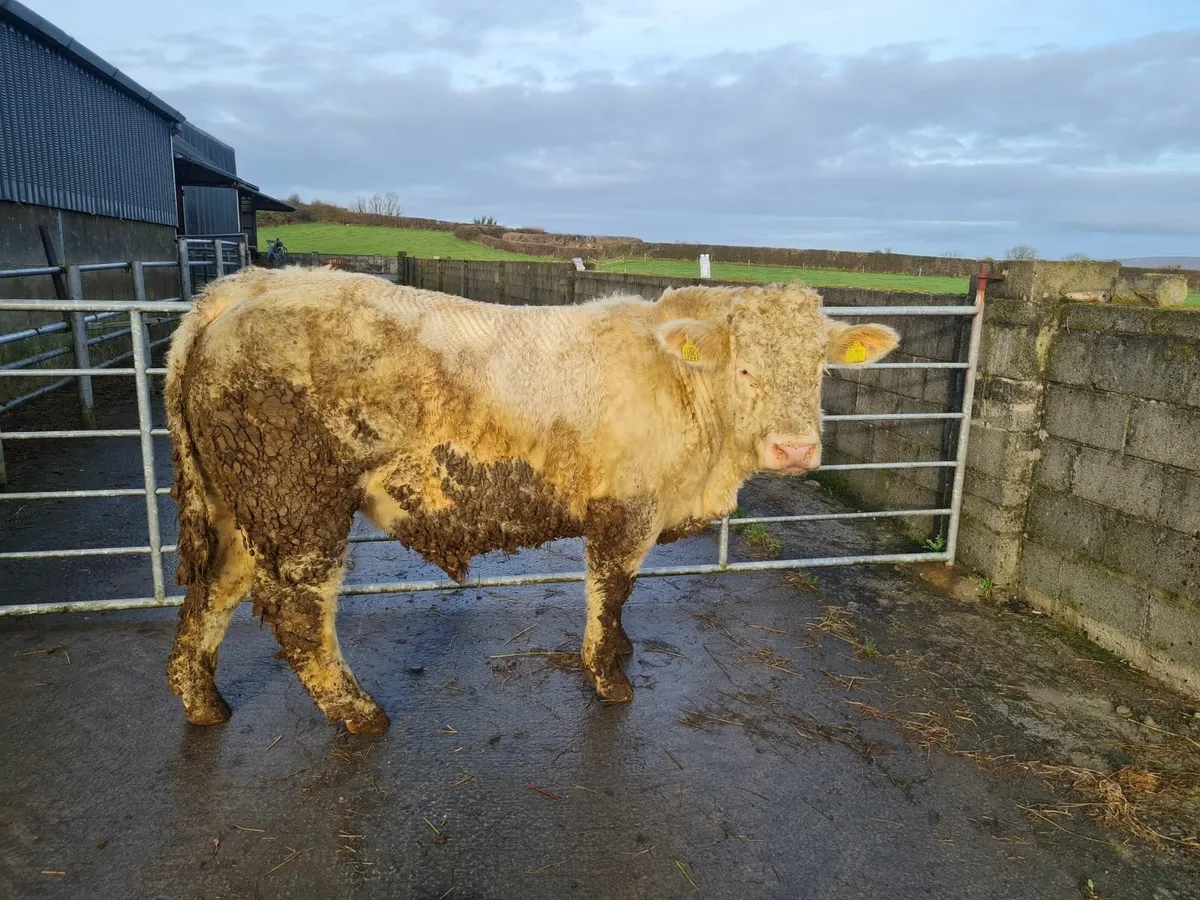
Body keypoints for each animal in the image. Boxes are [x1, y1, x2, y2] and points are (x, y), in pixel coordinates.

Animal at [164, 267, 899, 733]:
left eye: (820, 368)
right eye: (746, 368)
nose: (795, 450)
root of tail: (248, 287)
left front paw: (622, 653)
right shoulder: (624, 510)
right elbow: (611, 591)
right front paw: (608, 677)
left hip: (242, 507)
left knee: (213, 590)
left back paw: (203, 702)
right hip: (298, 505)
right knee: (298, 611)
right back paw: (359, 714)